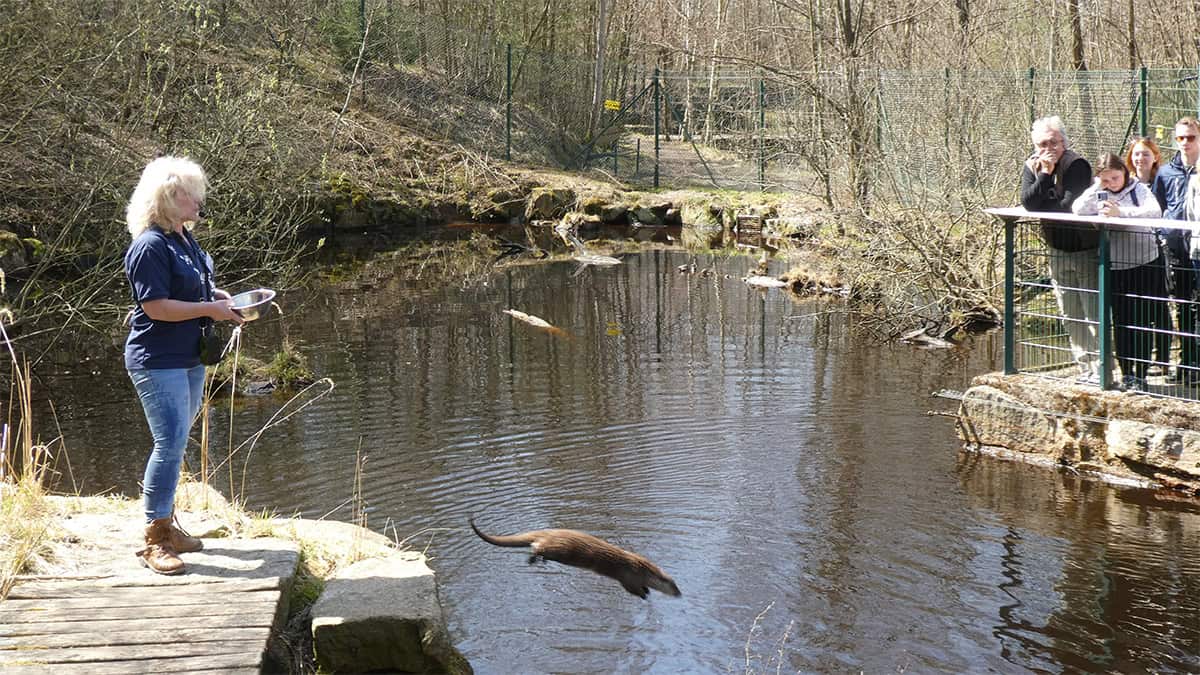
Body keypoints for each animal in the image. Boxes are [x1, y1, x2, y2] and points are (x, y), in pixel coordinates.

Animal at [468, 516, 681, 595]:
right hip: (559, 549)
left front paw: (647, 591)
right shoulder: (628, 578)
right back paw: (533, 558)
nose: (679, 594)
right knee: (537, 547)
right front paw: (644, 594)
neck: (640, 569)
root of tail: (550, 532)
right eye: (673, 586)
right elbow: (632, 590)